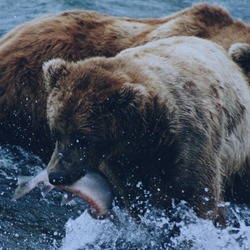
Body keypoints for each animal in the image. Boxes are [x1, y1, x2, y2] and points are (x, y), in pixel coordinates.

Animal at [44, 36, 250, 223]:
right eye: (55, 132)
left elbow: (197, 195)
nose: (56, 175)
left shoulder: (189, 141)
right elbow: (135, 197)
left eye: (84, 138)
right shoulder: (124, 162)